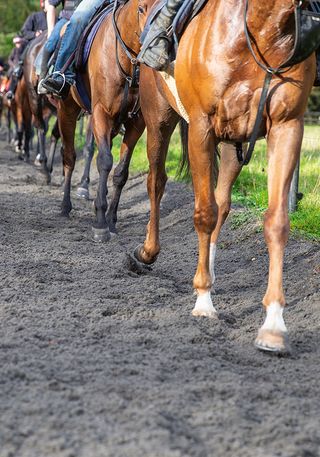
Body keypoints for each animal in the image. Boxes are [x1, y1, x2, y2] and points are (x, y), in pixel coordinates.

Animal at [136, 0, 316, 352]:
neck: (260, 30)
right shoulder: (201, 127)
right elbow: (203, 214)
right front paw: (204, 301)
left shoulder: (286, 125)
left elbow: (276, 222)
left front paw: (274, 323)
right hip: (158, 118)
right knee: (156, 182)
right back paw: (148, 252)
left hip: (234, 144)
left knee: (222, 203)